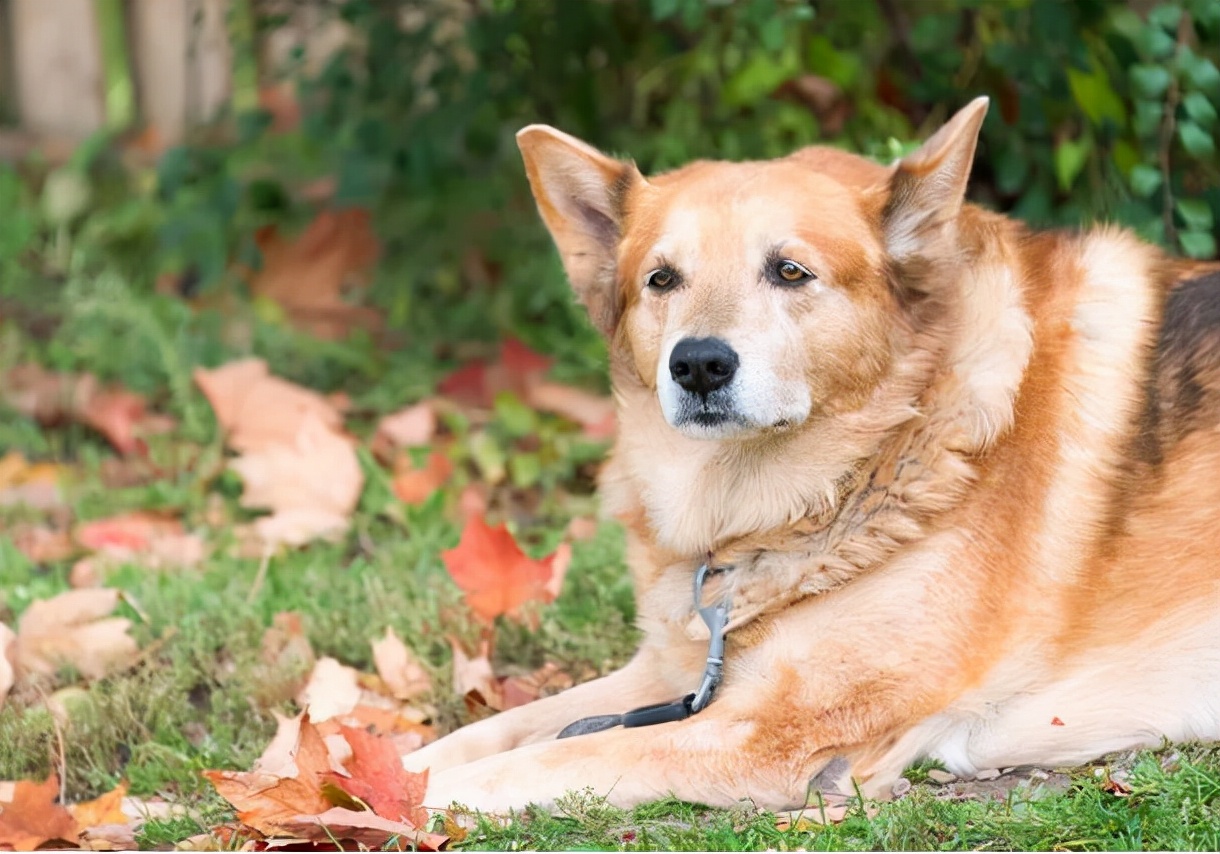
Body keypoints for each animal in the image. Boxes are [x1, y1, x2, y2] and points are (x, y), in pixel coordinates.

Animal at [405, 96, 1220, 810]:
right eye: (661, 280)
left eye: (789, 271)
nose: (698, 365)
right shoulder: (666, 677)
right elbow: (480, 737)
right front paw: (383, 769)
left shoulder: (764, 735)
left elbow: (522, 764)